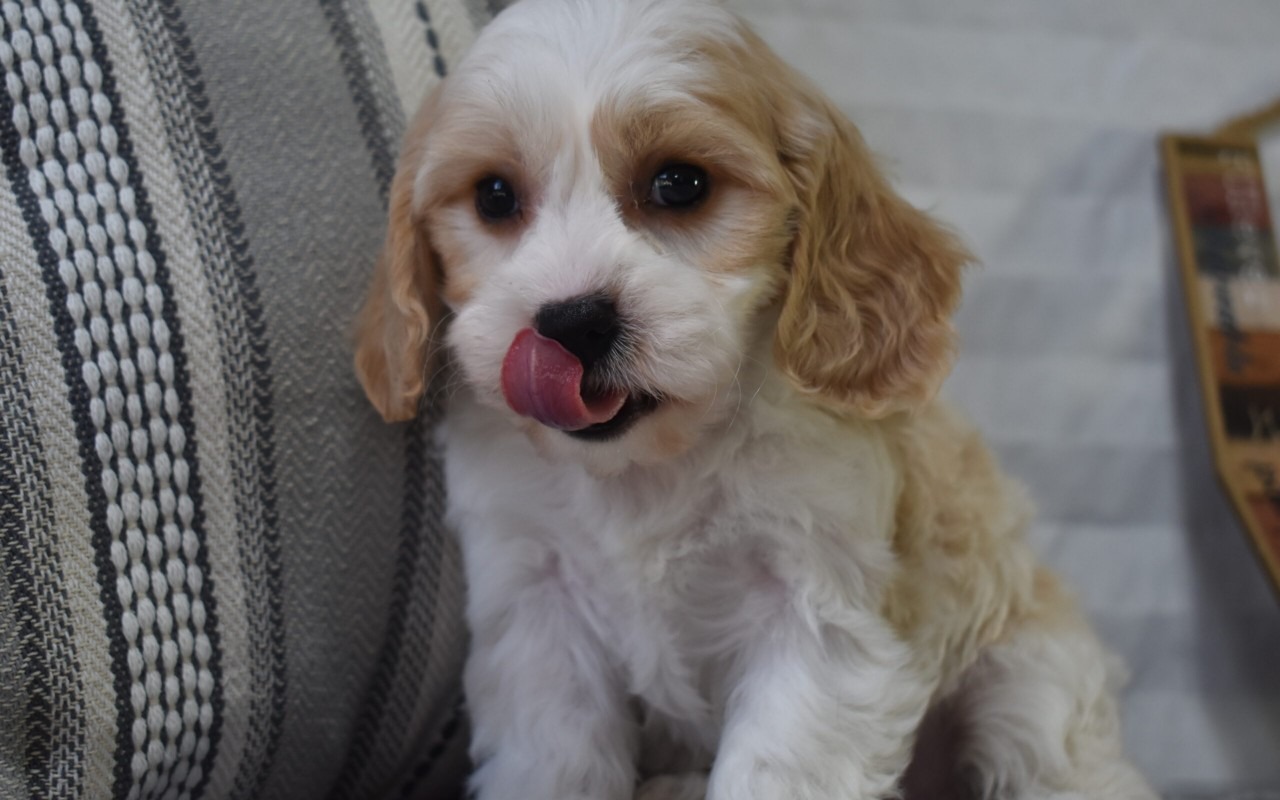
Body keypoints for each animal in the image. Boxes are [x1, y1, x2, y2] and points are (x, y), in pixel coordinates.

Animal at [353, 3, 1162, 793]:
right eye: (494, 195)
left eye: (679, 183)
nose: (572, 320)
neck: (645, 472)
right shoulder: (537, 608)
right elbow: (553, 764)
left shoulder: (817, 614)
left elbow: (778, 764)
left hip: (1030, 679)